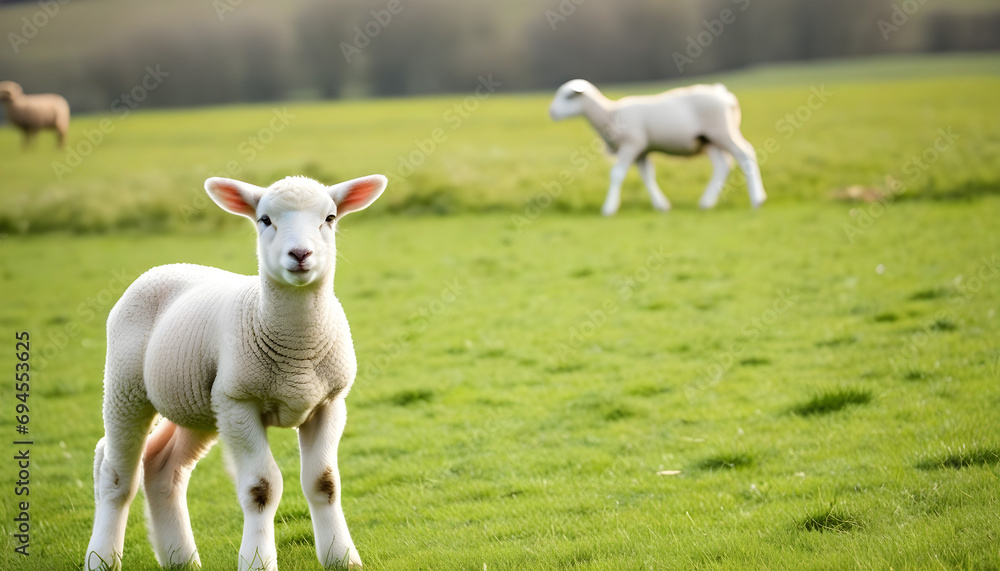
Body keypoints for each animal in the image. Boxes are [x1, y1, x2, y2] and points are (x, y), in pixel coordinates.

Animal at [84, 172, 386, 568]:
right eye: (265, 219)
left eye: (330, 218)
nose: (300, 254)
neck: (297, 350)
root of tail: (164, 267)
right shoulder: (239, 404)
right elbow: (261, 487)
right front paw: (257, 560)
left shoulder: (328, 403)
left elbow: (324, 483)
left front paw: (342, 558)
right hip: (127, 387)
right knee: (116, 473)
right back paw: (101, 558)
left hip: (199, 406)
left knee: (162, 468)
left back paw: (181, 559)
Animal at [548, 79, 764, 216]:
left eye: (567, 96)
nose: (552, 112)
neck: (608, 113)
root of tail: (724, 94)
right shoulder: (642, 150)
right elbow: (647, 176)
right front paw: (662, 205)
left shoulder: (631, 144)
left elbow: (617, 174)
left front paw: (608, 209)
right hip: (708, 139)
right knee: (722, 165)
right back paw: (706, 202)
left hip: (722, 131)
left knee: (745, 154)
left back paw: (757, 199)